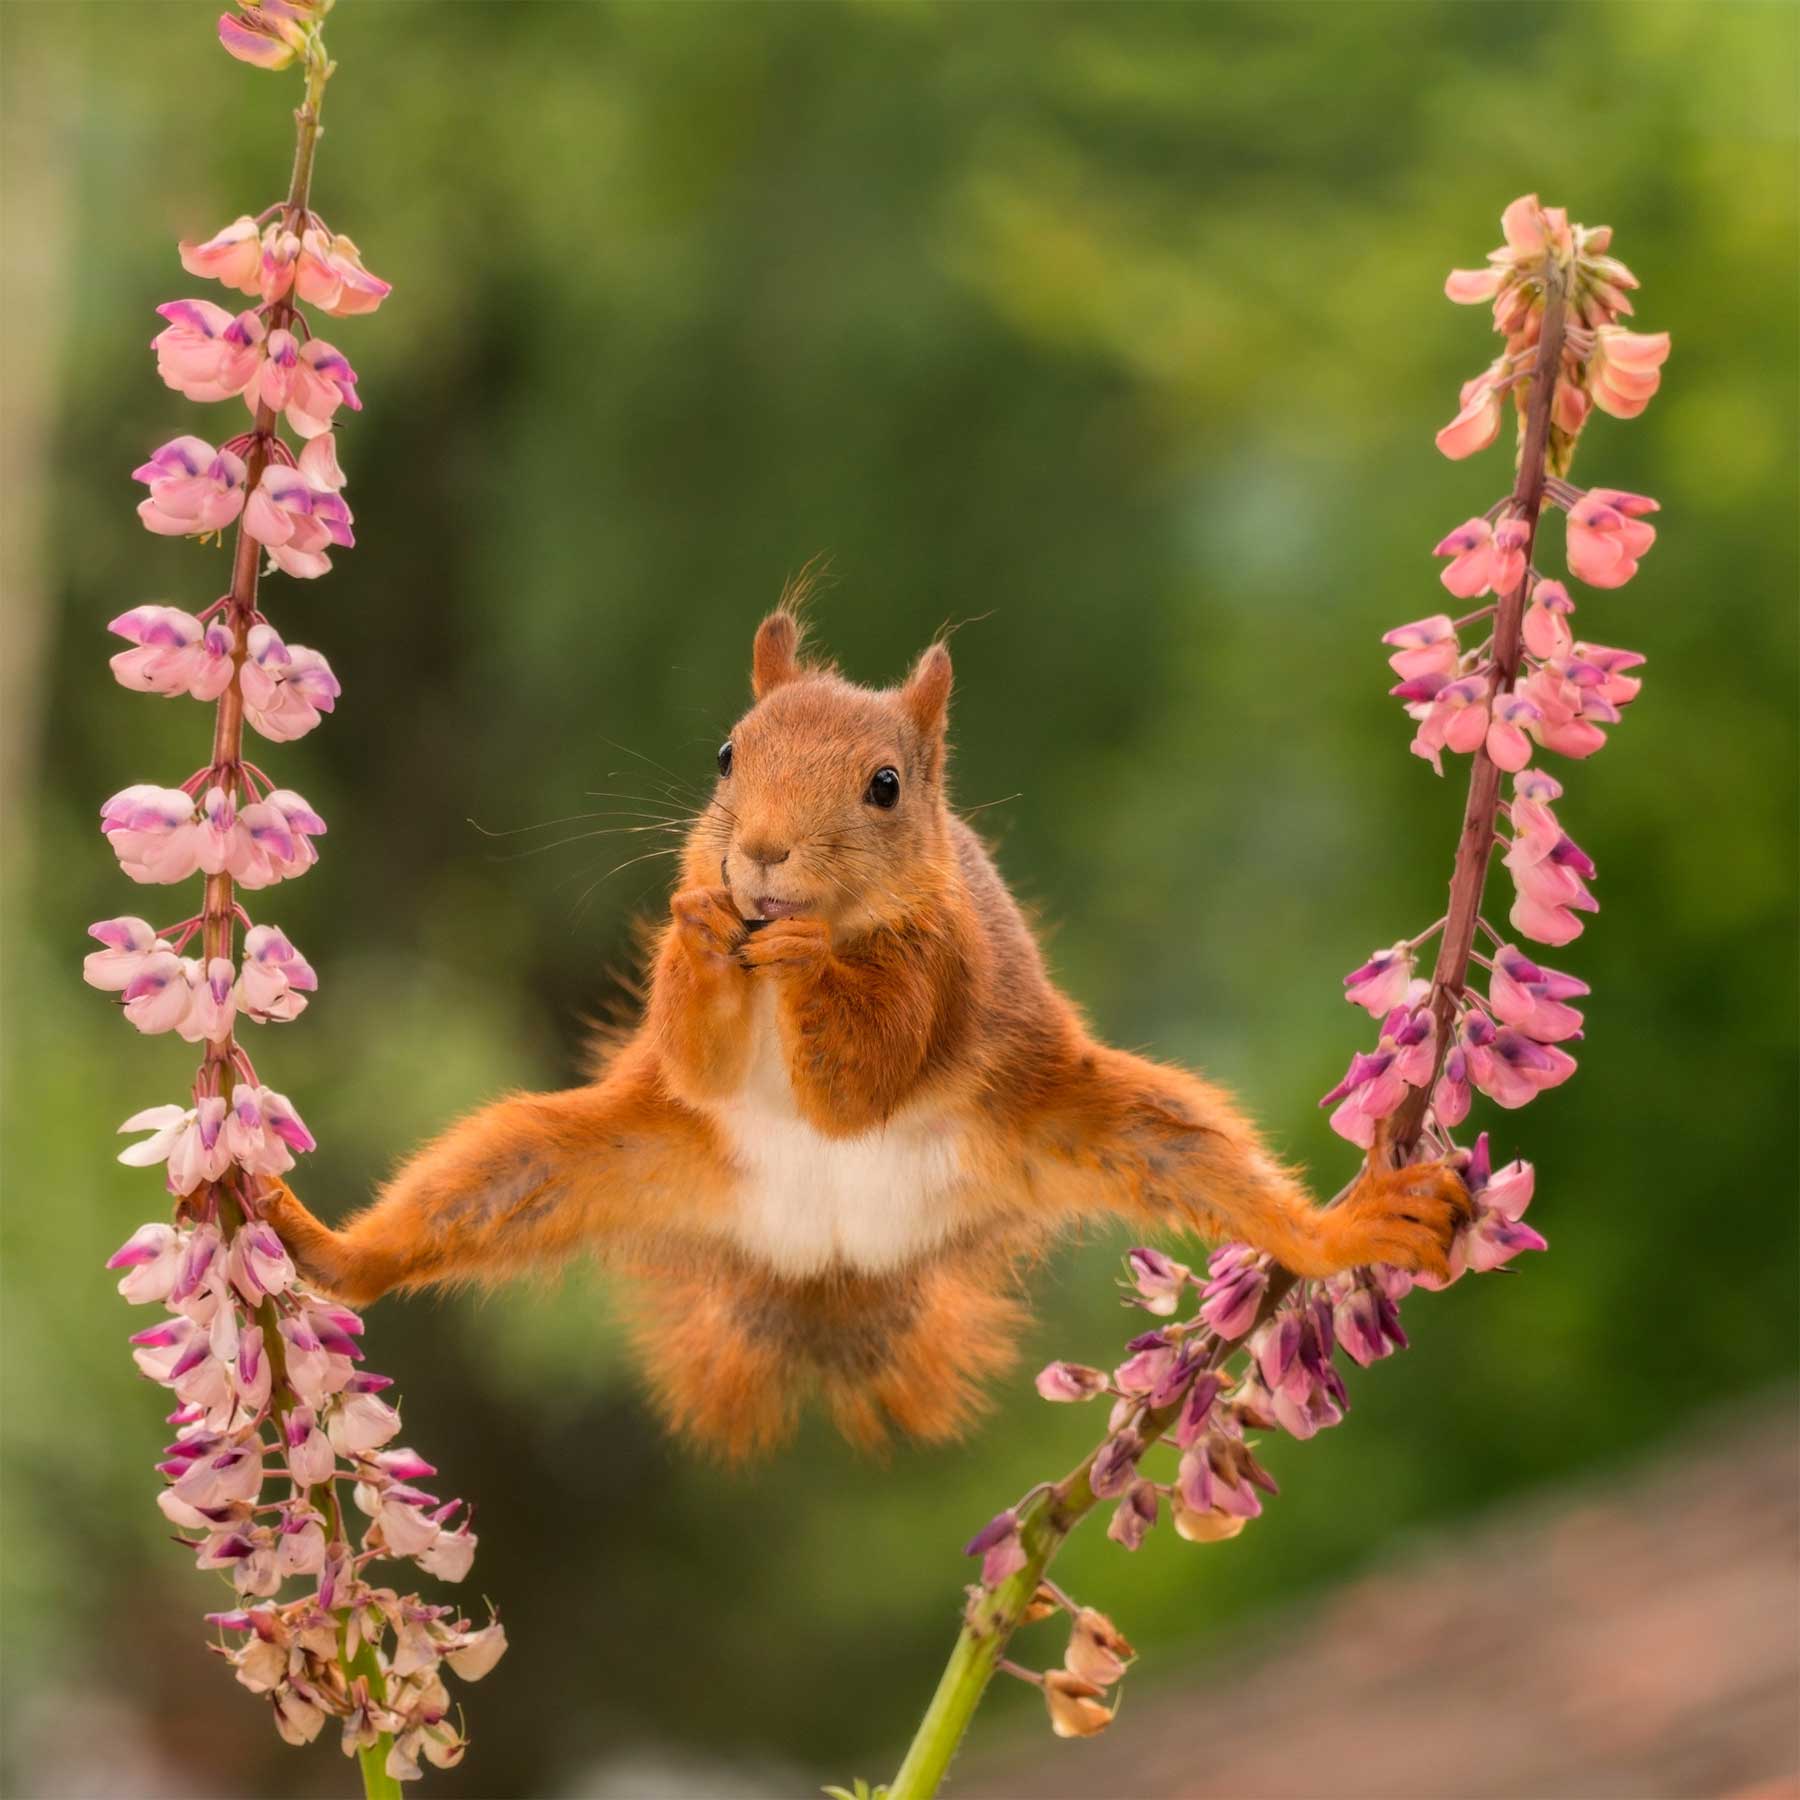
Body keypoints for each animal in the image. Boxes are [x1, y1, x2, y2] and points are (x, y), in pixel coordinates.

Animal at [270, 612, 1476, 1454]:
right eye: (724, 754)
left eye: (885, 787)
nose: (758, 855)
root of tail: (830, 1263)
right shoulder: (694, 1048)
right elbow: (700, 1057)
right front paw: (702, 929)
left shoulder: (941, 973)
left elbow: (864, 1081)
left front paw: (809, 961)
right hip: (584, 1156)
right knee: (452, 1204)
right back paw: (314, 1241)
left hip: (1095, 1123)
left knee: (1211, 1169)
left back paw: (1348, 1227)